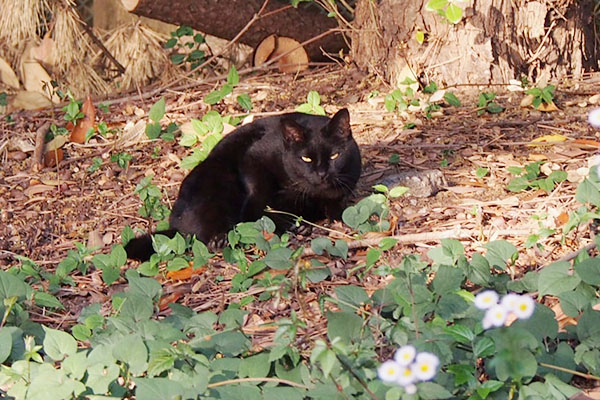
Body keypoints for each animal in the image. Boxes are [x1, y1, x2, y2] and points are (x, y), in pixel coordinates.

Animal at [125, 108, 360, 260]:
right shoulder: (254, 157)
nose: (321, 174)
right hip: (219, 183)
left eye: (335, 156)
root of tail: (173, 225)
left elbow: (337, 206)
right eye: (306, 159)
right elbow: (258, 206)